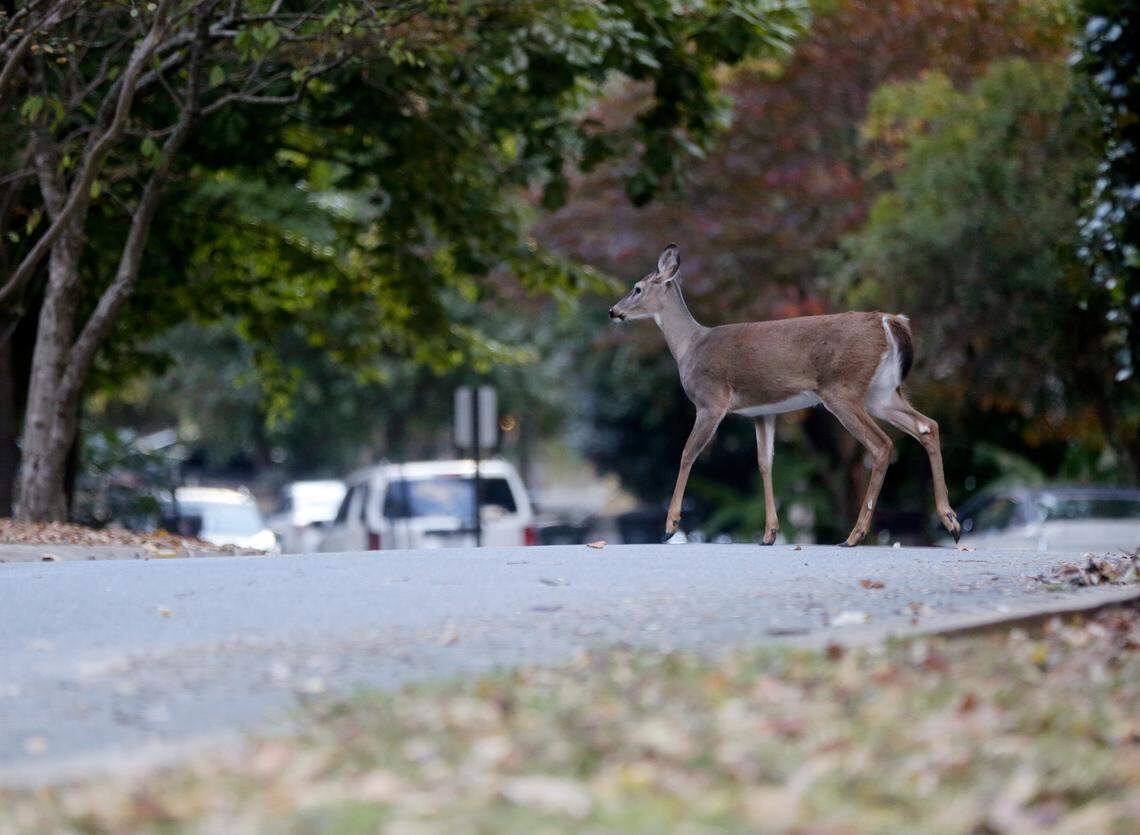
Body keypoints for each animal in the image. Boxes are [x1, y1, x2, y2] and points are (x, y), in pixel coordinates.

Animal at [608, 243, 961, 547]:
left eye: (637, 288)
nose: (613, 311)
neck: (689, 347)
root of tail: (890, 320)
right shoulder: (763, 412)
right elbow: (765, 463)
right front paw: (769, 534)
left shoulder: (711, 401)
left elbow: (687, 454)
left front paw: (669, 526)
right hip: (881, 392)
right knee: (927, 426)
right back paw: (951, 522)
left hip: (842, 388)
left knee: (882, 444)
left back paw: (855, 535)